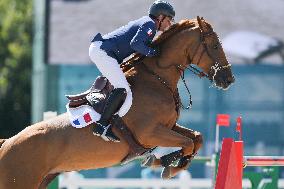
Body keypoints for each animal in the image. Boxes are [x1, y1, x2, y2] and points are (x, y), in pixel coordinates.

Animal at [0, 16, 235, 189]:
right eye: (215, 45)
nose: (229, 80)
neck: (157, 78)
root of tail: (6, 143)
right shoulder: (150, 132)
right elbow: (187, 143)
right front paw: (165, 165)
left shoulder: (168, 127)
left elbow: (196, 138)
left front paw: (164, 162)